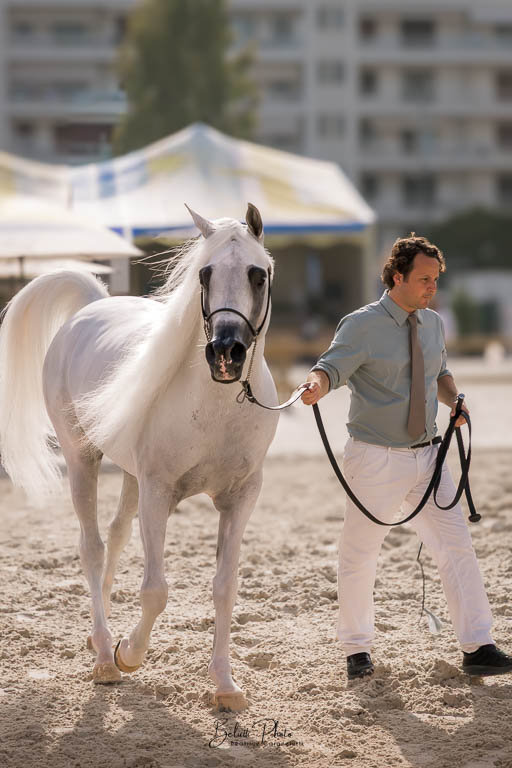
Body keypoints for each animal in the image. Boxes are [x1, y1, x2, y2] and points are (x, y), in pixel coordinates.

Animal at [0, 203, 278, 711]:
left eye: (258, 275)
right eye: (205, 273)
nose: (225, 352)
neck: (215, 407)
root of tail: (91, 306)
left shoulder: (241, 498)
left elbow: (225, 588)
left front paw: (225, 685)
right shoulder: (157, 492)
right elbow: (155, 592)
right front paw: (128, 653)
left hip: (129, 474)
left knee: (115, 535)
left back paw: (102, 636)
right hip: (83, 462)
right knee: (91, 547)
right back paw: (104, 658)